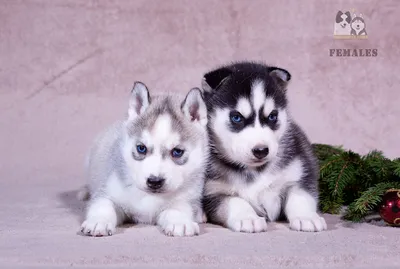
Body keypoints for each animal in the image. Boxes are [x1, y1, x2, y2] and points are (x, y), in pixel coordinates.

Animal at [78, 82, 209, 237]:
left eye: (177, 152)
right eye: (141, 148)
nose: (154, 181)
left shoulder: (184, 200)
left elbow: (177, 209)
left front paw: (180, 222)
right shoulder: (107, 192)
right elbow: (103, 204)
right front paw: (99, 221)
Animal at [202, 61, 326, 231]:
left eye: (272, 116)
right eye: (236, 117)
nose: (261, 150)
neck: (254, 170)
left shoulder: (301, 171)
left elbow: (301, 196)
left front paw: (306, 217)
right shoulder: (213, 192)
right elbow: (235, 201)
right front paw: (248, 218)